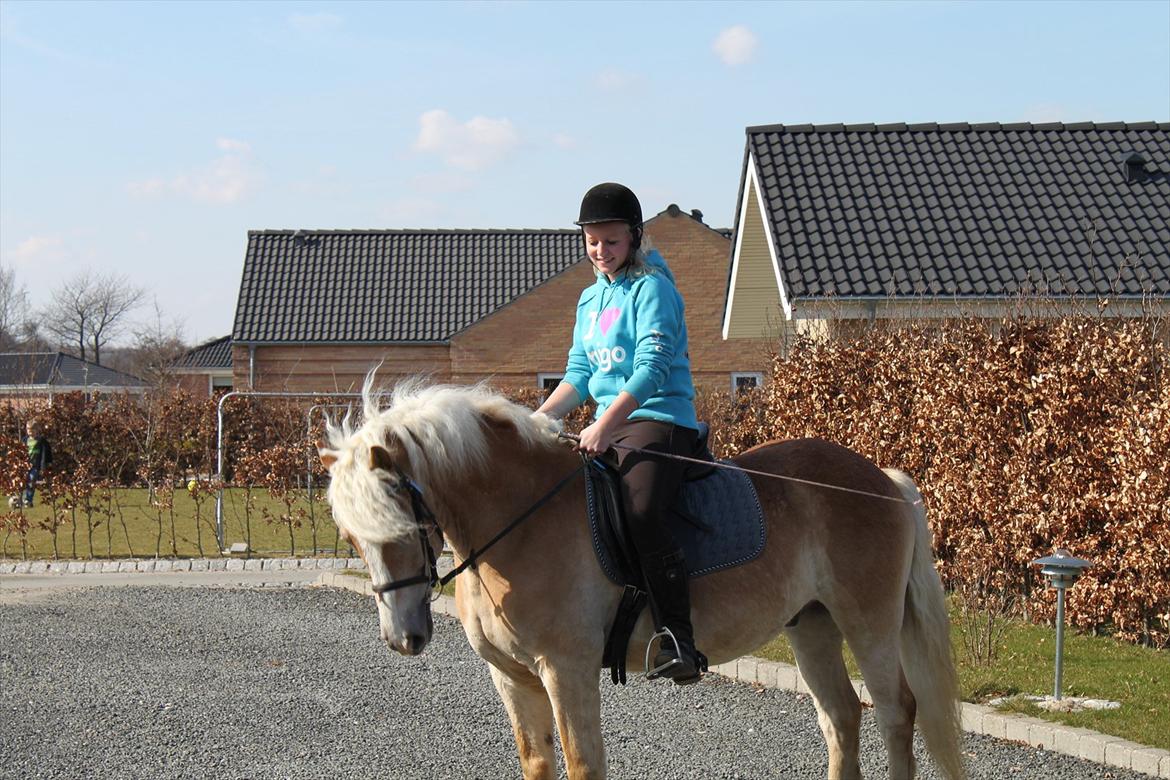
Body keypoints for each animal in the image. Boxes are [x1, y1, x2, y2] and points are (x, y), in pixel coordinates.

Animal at [318, 383, 959, 780]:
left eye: (401, 525)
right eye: (349, 536)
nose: (403, 638)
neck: (518, 518)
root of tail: (882, 479)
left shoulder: (566, 670)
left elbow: (584, 764)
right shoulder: (512, 677)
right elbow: (537, 763)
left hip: (868, 623)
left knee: (897, 712)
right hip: (812, 626)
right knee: (842, 717)